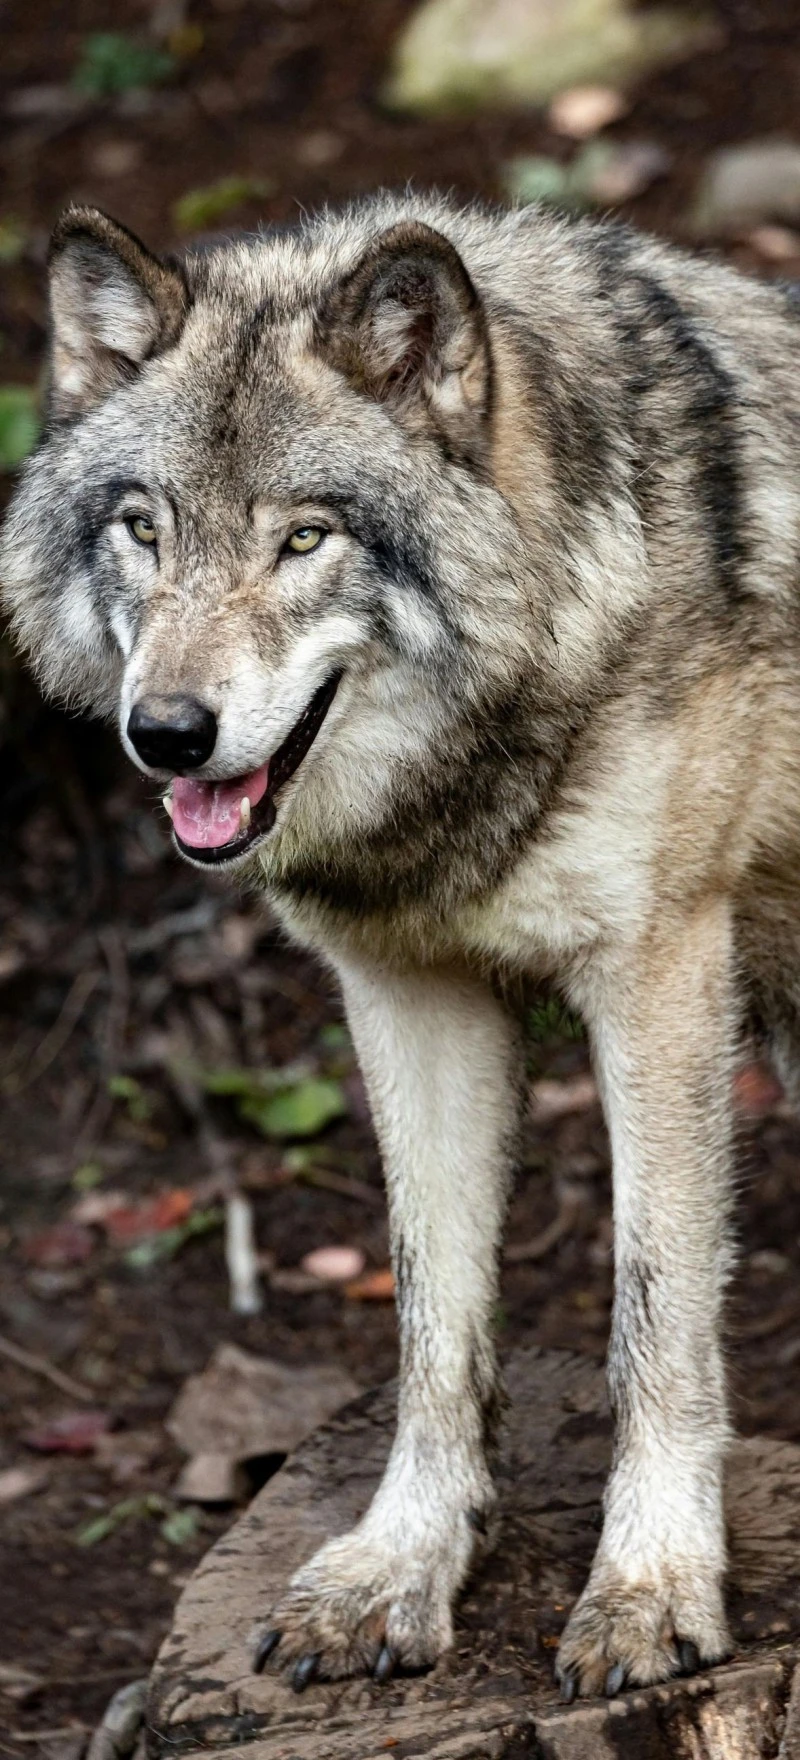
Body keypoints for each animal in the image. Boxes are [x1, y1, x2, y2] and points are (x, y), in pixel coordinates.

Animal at [4, 189, 800, 1700]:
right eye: (142, 528)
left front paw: (650, 1587)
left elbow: (653, 1314)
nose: (167, 734)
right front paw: (400, 1568)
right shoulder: (404, 996)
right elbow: (432, 1321)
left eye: (305, 539)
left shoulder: (660, 977)